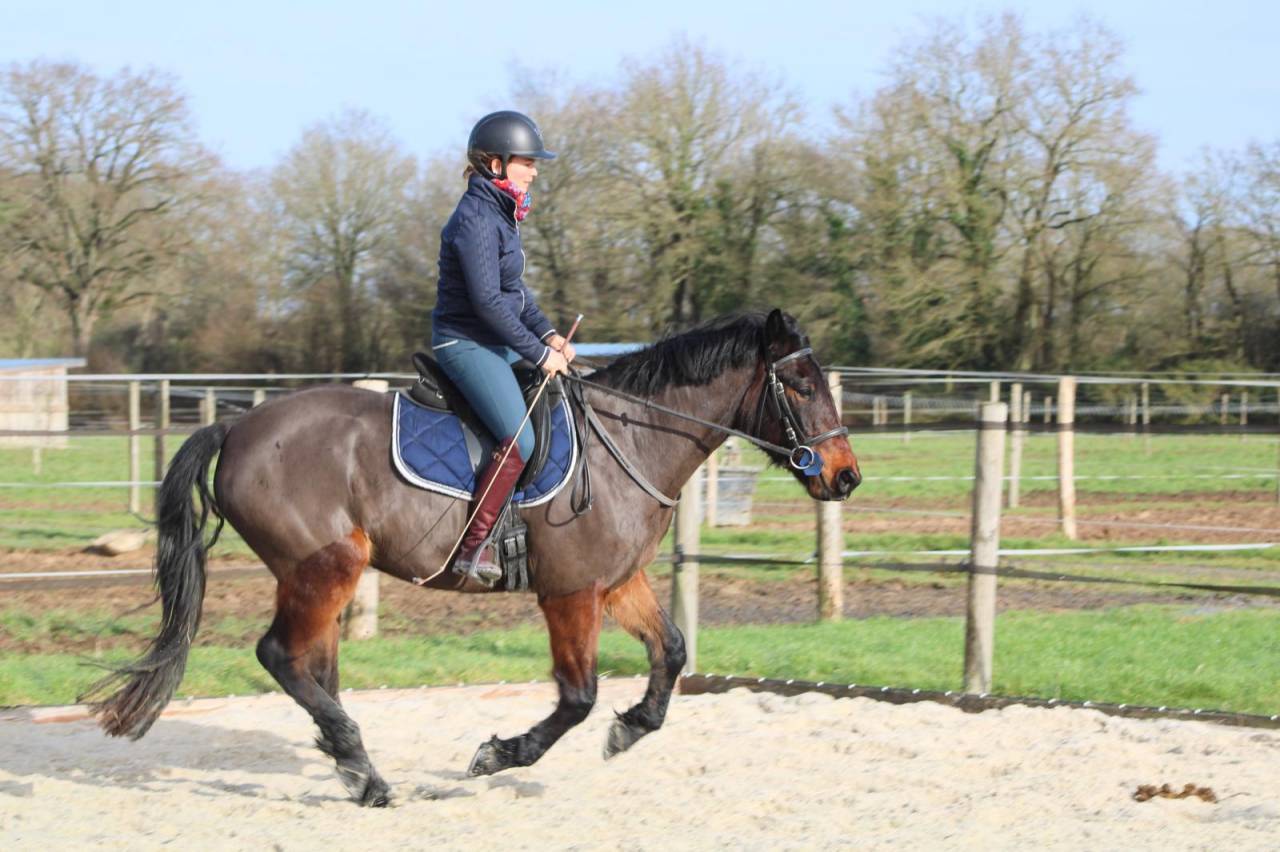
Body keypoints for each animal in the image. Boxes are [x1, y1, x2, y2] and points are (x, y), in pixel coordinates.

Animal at [85, 308, 861, 806]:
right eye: (800, 385)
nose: (846, 477)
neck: (632, 440)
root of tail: (239, 425)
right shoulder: (570, 593)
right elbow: (577, 697)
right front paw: (500, 755)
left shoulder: (616, 583)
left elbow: (670, 652)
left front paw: (629, 730)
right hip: (323, 568)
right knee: (281, 657)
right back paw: (365, 774)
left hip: (323, 576)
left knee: (313, 667)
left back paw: (349, 763)